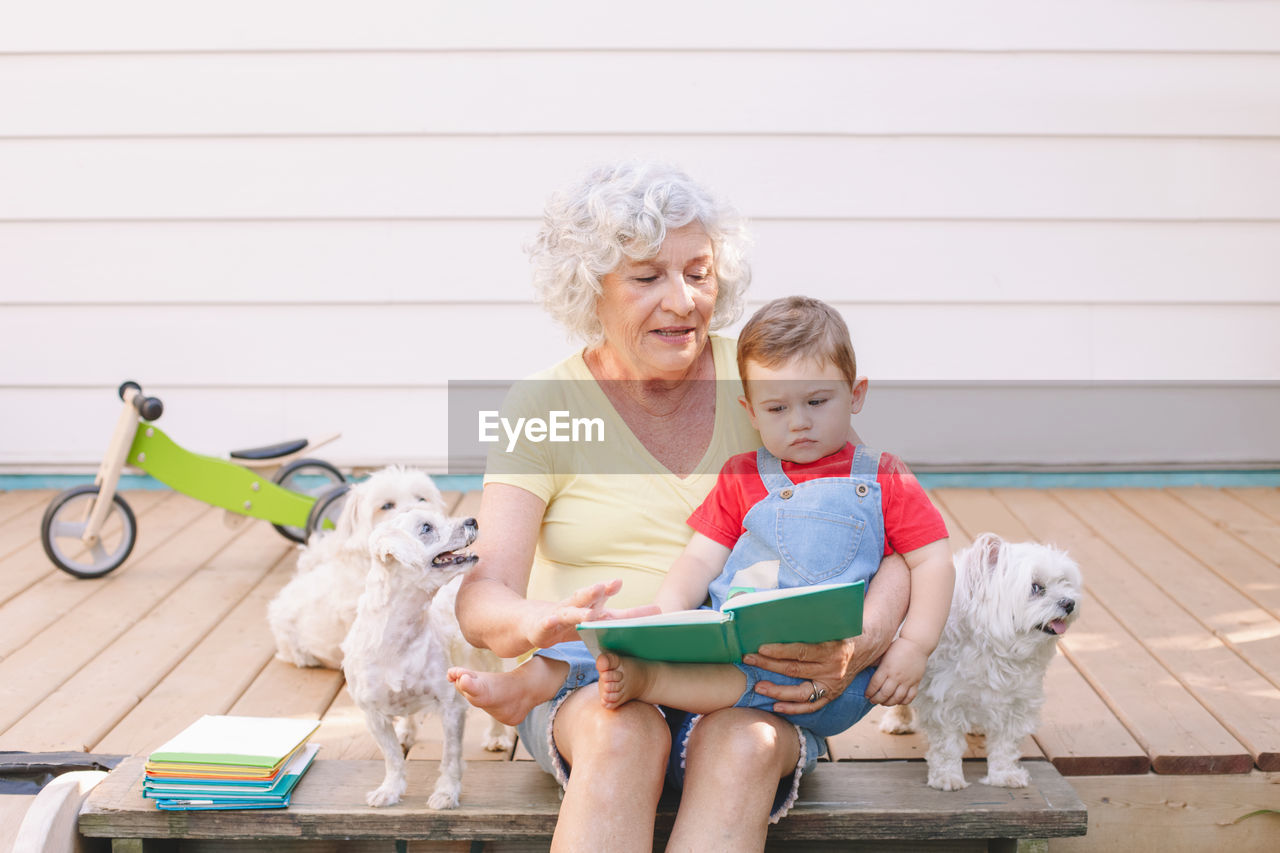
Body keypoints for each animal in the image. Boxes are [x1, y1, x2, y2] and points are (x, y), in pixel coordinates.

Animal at [345, 507, 514, 809]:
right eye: (426, 528)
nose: (473, 520)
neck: (399, 638)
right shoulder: (373, 715)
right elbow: (391, 756)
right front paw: (390, 789)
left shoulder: (451, 706)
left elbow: (451, 757)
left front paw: (446, 793)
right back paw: (406, 730)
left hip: (489, 659)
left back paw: (496, 737)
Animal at [880, 532, 1080, 788]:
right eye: (1036, 587)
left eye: (1064, 581)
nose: (1069, 603)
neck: (996, 651)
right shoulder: (944, 701)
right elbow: (947, 745)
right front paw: (947, 777)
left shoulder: (1018, 703)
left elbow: (1005, 746)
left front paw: (1004, 775)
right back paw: (898, 721)